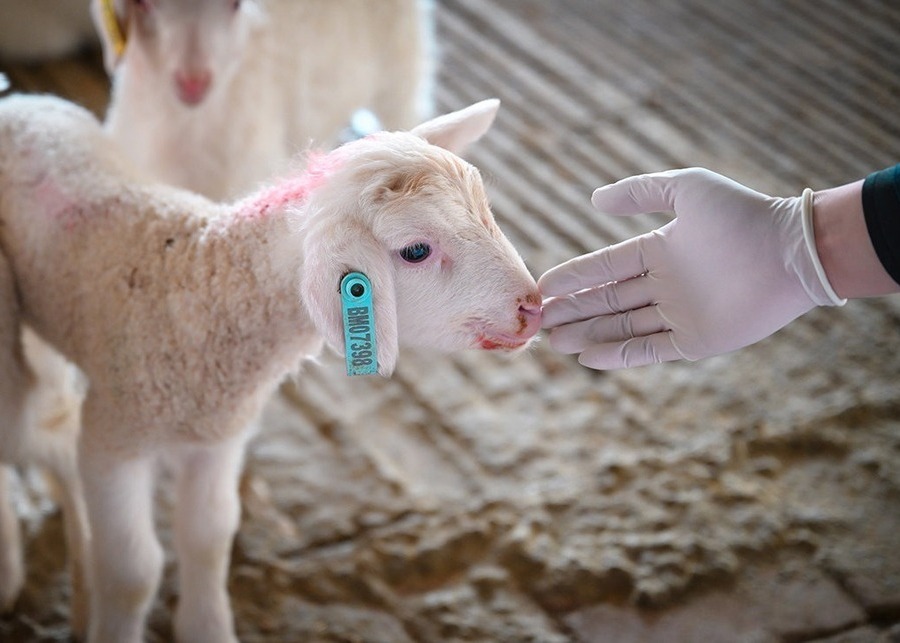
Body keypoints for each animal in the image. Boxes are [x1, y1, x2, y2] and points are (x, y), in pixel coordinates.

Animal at [0, 93, 541, 643]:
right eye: (416, 250)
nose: (533, 306)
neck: (196, 282)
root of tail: (21, 100)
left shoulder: (217, 440)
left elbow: (209, 537)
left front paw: (207, 627)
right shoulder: (114, 441)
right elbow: (133, 572)